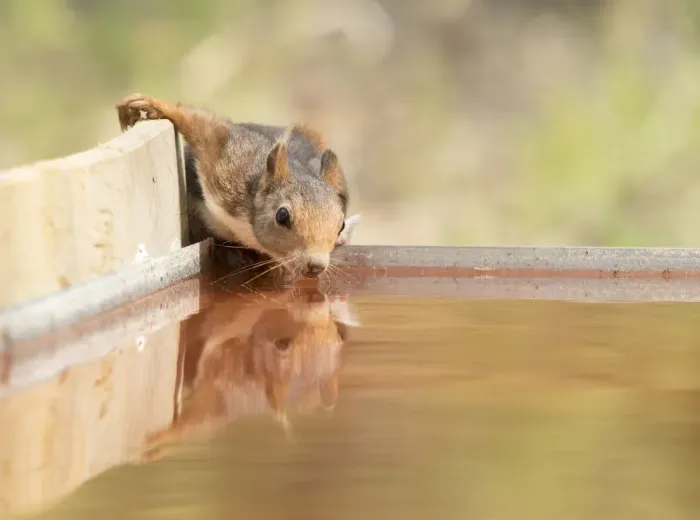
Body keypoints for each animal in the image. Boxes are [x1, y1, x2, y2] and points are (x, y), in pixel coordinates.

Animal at [115, 93, 359, 279]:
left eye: (341, 225)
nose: (316, 266)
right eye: (282, 215)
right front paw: (151, 105)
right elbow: (202, 126)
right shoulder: (229, 159)